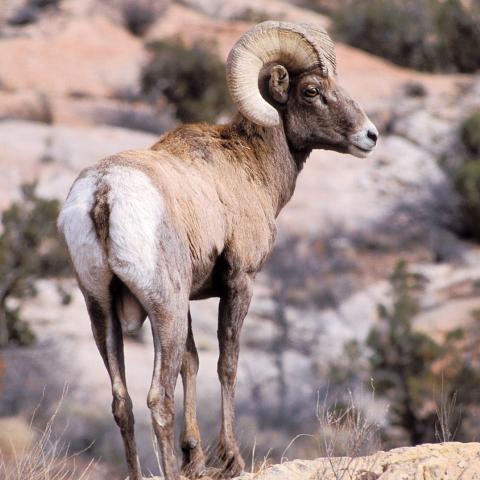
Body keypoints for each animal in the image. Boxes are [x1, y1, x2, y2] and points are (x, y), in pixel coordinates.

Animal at [57, 20, 378, 478]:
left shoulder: (189, 298)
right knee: (158, 398)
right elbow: (227, 363)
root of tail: (103, 192)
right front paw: (231, 459)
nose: (369, 136)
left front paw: (196, 458)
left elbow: (191, 364)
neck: (248, 167)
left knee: (122, 402)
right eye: (312, 90)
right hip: (165, 308)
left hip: (100, 309)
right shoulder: (239, 282)